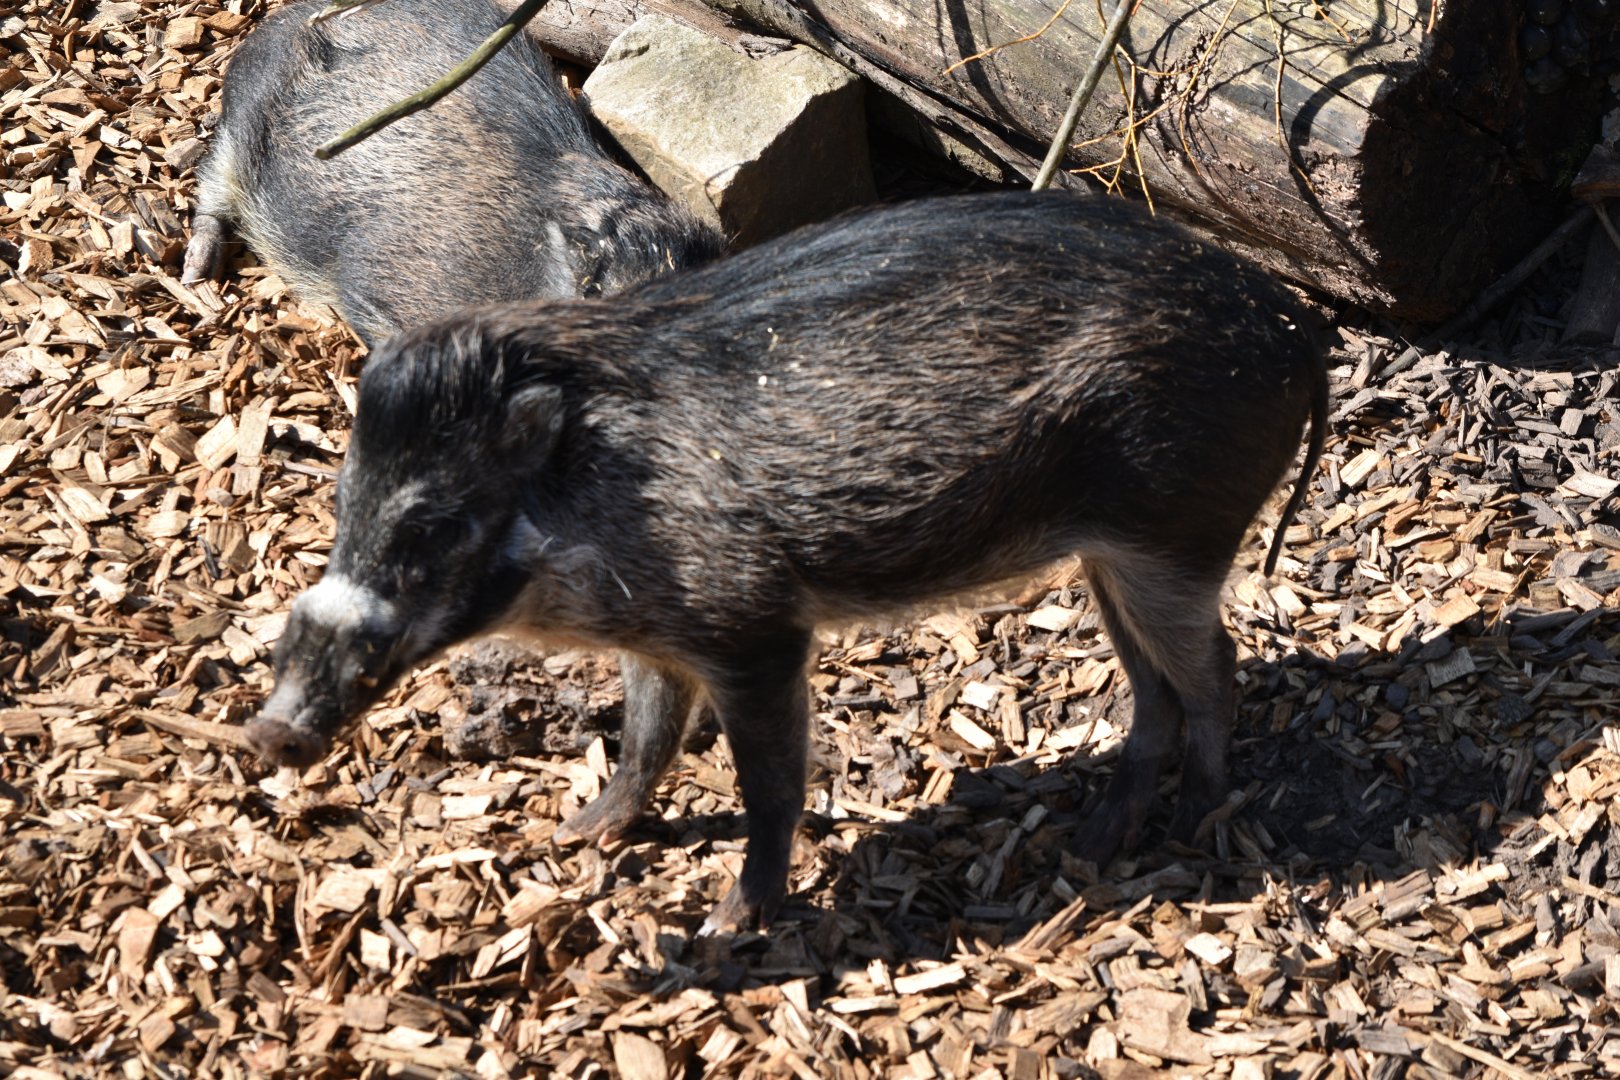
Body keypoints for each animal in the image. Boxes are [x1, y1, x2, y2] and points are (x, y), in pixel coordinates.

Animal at [181, 0, 724, 347]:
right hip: (242, 120)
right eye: (591, 293)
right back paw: (195, 274)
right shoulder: (379, 284)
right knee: (211, 186)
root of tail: (274, 23)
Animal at [245, 191, 1328, 932]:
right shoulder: (658, 638)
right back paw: (1098, 840)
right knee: (1153, 688)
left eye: (432, 525)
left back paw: (1192, 821)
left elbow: (765, 785)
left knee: (1215, 667)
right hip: (1112, 561)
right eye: (345, 502)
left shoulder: (755, 630)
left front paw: (730, 923)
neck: (594, 499)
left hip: (1176, 536)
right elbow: (646, 738)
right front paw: (579, 833)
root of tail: (1296, 333)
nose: (267, 734)